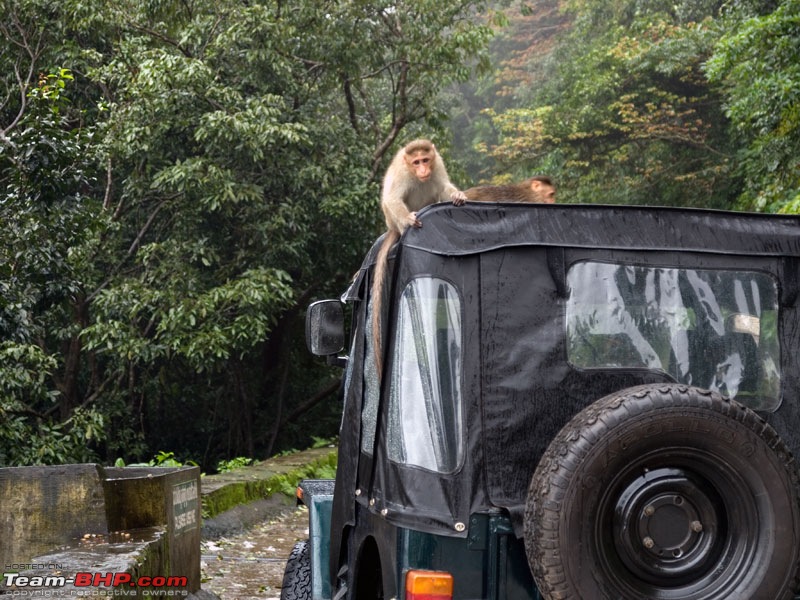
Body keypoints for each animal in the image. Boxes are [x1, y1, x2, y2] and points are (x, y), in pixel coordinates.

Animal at [370, 138, 466, 378]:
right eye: (416, 163)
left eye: (425, 159)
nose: (423, 170)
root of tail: (391, 228)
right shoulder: (403, 172)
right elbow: (393, 197)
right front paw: (409, 220)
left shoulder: (437, 163)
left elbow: (443, 186)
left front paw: (457, 195)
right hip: (392, 219)